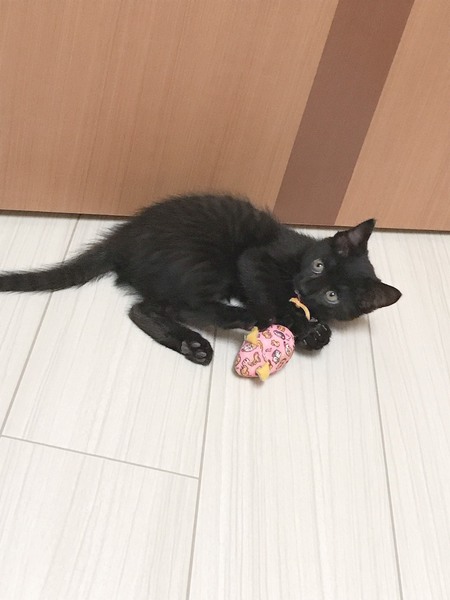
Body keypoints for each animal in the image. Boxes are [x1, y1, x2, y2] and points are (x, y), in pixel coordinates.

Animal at [0, 194, 401, 365]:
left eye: (333, 295)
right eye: (318, 265)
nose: (307, 288)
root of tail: (122, 240)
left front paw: (315, 327)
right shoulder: (254, 259)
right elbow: (271, 296)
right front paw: (301, 326)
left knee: (146, 308)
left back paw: (191, 345)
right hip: (205, 263)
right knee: (187, 306)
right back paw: (241, 319)